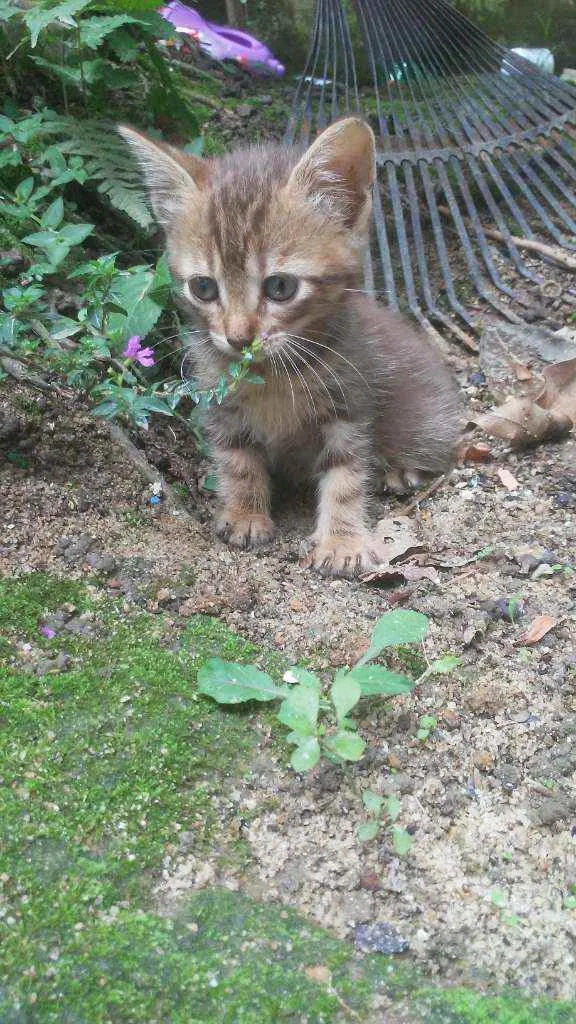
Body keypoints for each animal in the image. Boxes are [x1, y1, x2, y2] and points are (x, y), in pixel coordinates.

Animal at [118, 117, 459, 577]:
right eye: (203, 287)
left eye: (280, 287)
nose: (238, 337)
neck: (274, 373)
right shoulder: (220, 402)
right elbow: (237, 460)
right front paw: (245, 514)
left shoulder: (350, 404)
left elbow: (346, 476)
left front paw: (341, 540)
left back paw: (399, 470)